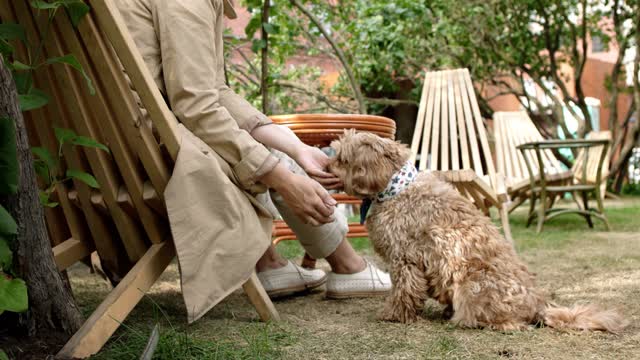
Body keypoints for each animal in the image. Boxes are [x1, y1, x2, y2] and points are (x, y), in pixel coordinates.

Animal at [330, 129, 624, 332]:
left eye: (342, 159)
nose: (327, 166)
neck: (395, 188)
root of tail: (539, 305)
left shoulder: (405, 258)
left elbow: (403, 291)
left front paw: (393, 315)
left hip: (471, 286)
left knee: (512, 323)